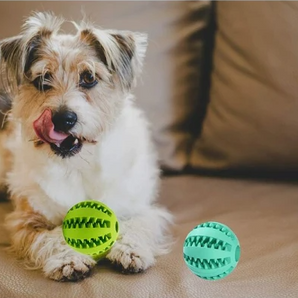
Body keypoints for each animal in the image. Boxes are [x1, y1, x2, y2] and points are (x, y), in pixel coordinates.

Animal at [0, 12, 172, 282]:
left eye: (89, 78)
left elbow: (138, 224)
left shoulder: (144, 209)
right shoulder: (23, 220)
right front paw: (68, 259)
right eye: (42, 80)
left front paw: (130, 250)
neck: (77, 166)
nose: (63, 119)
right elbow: (49, 236)